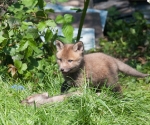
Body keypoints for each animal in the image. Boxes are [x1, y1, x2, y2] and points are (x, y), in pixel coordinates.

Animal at [20, 40, 149, 106]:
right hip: (98, 84)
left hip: (111, 83)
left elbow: (75, 93)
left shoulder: (82, 86)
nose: (62, 69)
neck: (75, 73)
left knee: (119, 90)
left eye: (70, 61)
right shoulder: (68, 83)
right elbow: (63, 88)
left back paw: (120, 100)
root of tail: (112, 58)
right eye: (60, 59)